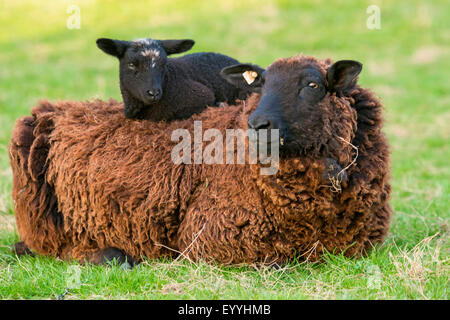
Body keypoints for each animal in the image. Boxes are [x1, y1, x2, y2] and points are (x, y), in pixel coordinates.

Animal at [8, 55, 392, 264]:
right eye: (260, 85)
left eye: (313, 85)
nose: (257, 125)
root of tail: (56, 109)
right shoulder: (212, 239)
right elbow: (277, 262)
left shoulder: (356, 244)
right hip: (40, 218)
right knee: (46, 247)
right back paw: (111, 256)